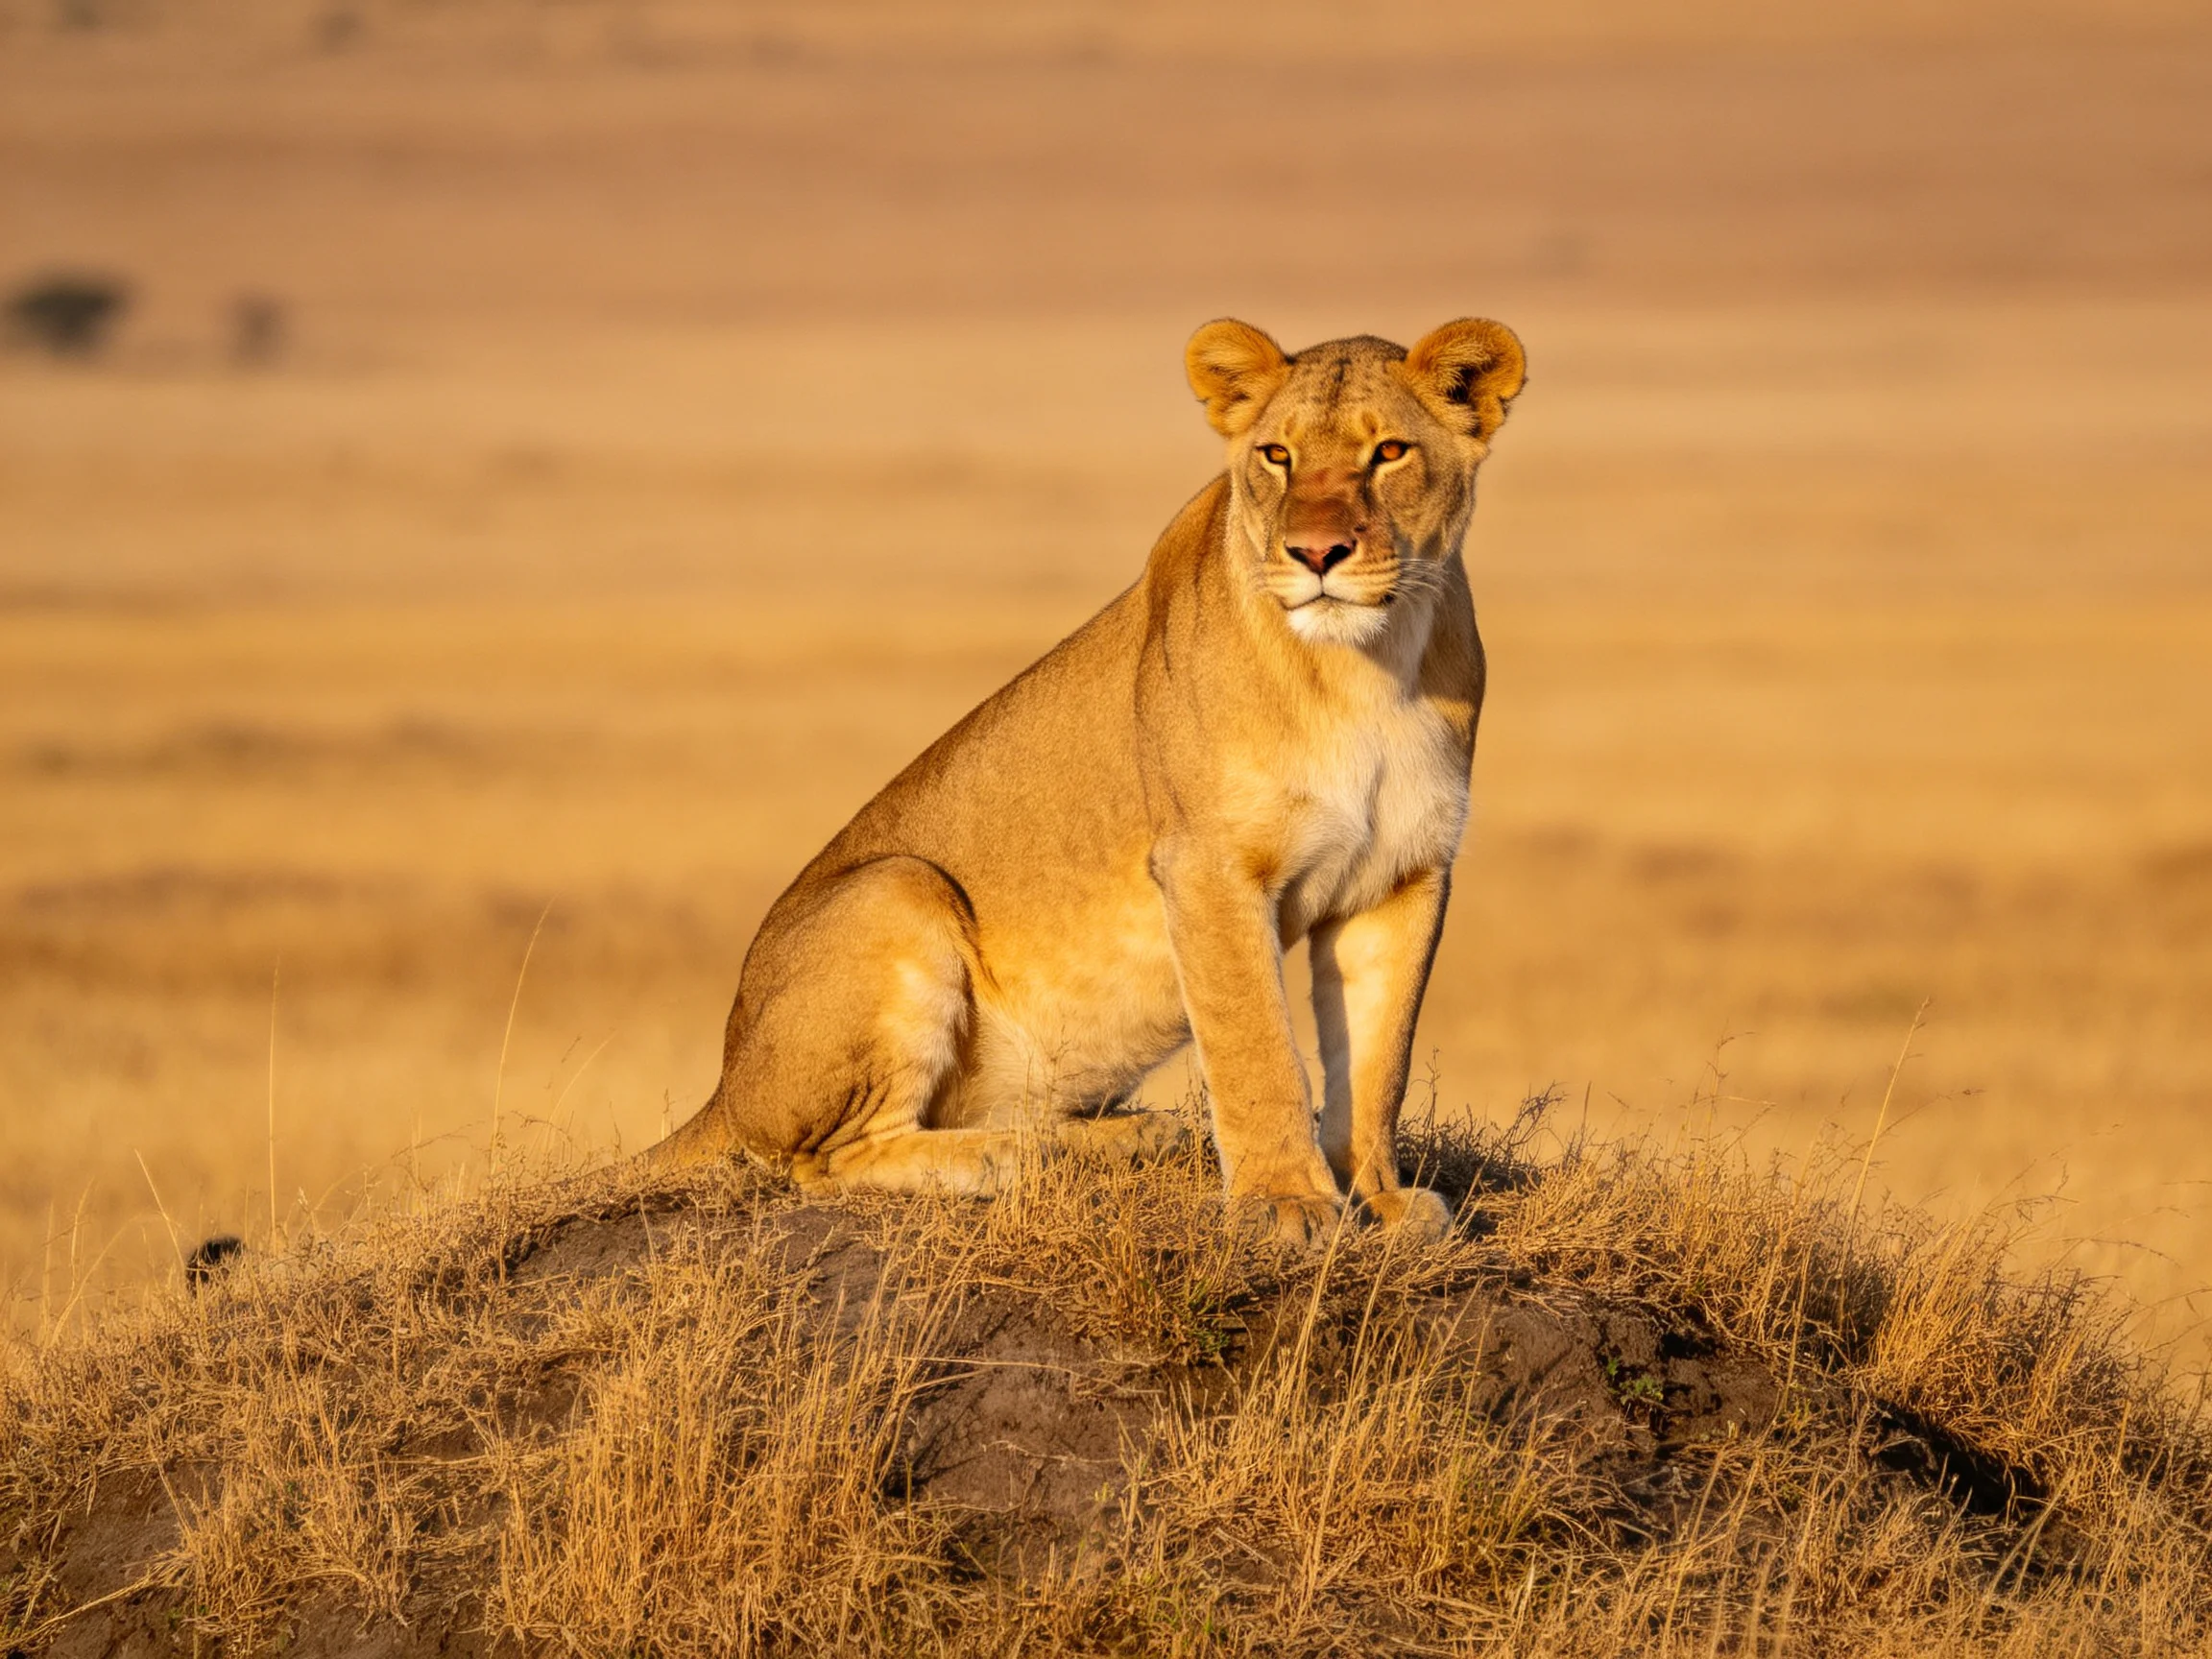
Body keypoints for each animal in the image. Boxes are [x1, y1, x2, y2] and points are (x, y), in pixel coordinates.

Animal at [652, 316, 1526, 1246]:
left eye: (1389, 451)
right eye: (1277, 455)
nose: (1316, 553)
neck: (1370, 665)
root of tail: (725, 1083)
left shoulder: (1403, 875)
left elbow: (1376, 1060)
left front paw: (1380, 1200)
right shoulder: (1207, 865)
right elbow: (1256, 1046)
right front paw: (1285, 1204)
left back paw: (1126, 1139)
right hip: (896, 886)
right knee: (827, 1160)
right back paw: (1008, 1162)